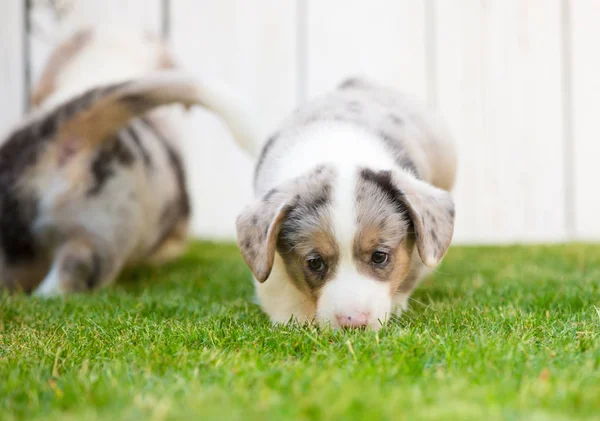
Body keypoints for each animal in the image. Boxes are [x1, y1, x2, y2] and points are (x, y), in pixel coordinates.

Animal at [237, 78, 458, 328]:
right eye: (315, 262)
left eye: (379, 256)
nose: (353, 323)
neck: (338, 151)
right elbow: (279, 290)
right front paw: (294, 321)